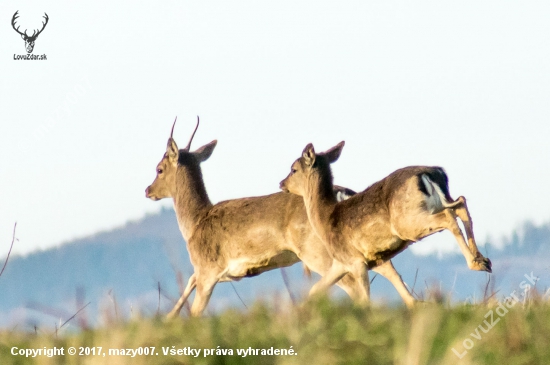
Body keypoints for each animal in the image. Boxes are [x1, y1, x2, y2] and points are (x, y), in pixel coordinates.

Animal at [147, 117, 418, 316]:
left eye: (159, 169)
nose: (148, 190)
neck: (194, 223)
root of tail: (343, 195)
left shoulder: (207, 267)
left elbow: (195, 310)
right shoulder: (208, 272)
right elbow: (187, 287)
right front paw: (168, 319)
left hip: (317, 252)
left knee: (354, 283)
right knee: (386, 268)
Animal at [282, 139, 494, 302]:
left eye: (293, 169)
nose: (281, 183)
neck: (324, 219)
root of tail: (431, 173)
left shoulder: (355, 261)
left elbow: (364, 299)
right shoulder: (347, 261)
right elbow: (315, 290)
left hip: (407, 222)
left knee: (449, 216)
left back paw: (475, 263)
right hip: (433, 206)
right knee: (460, 203)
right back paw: (483, 260)